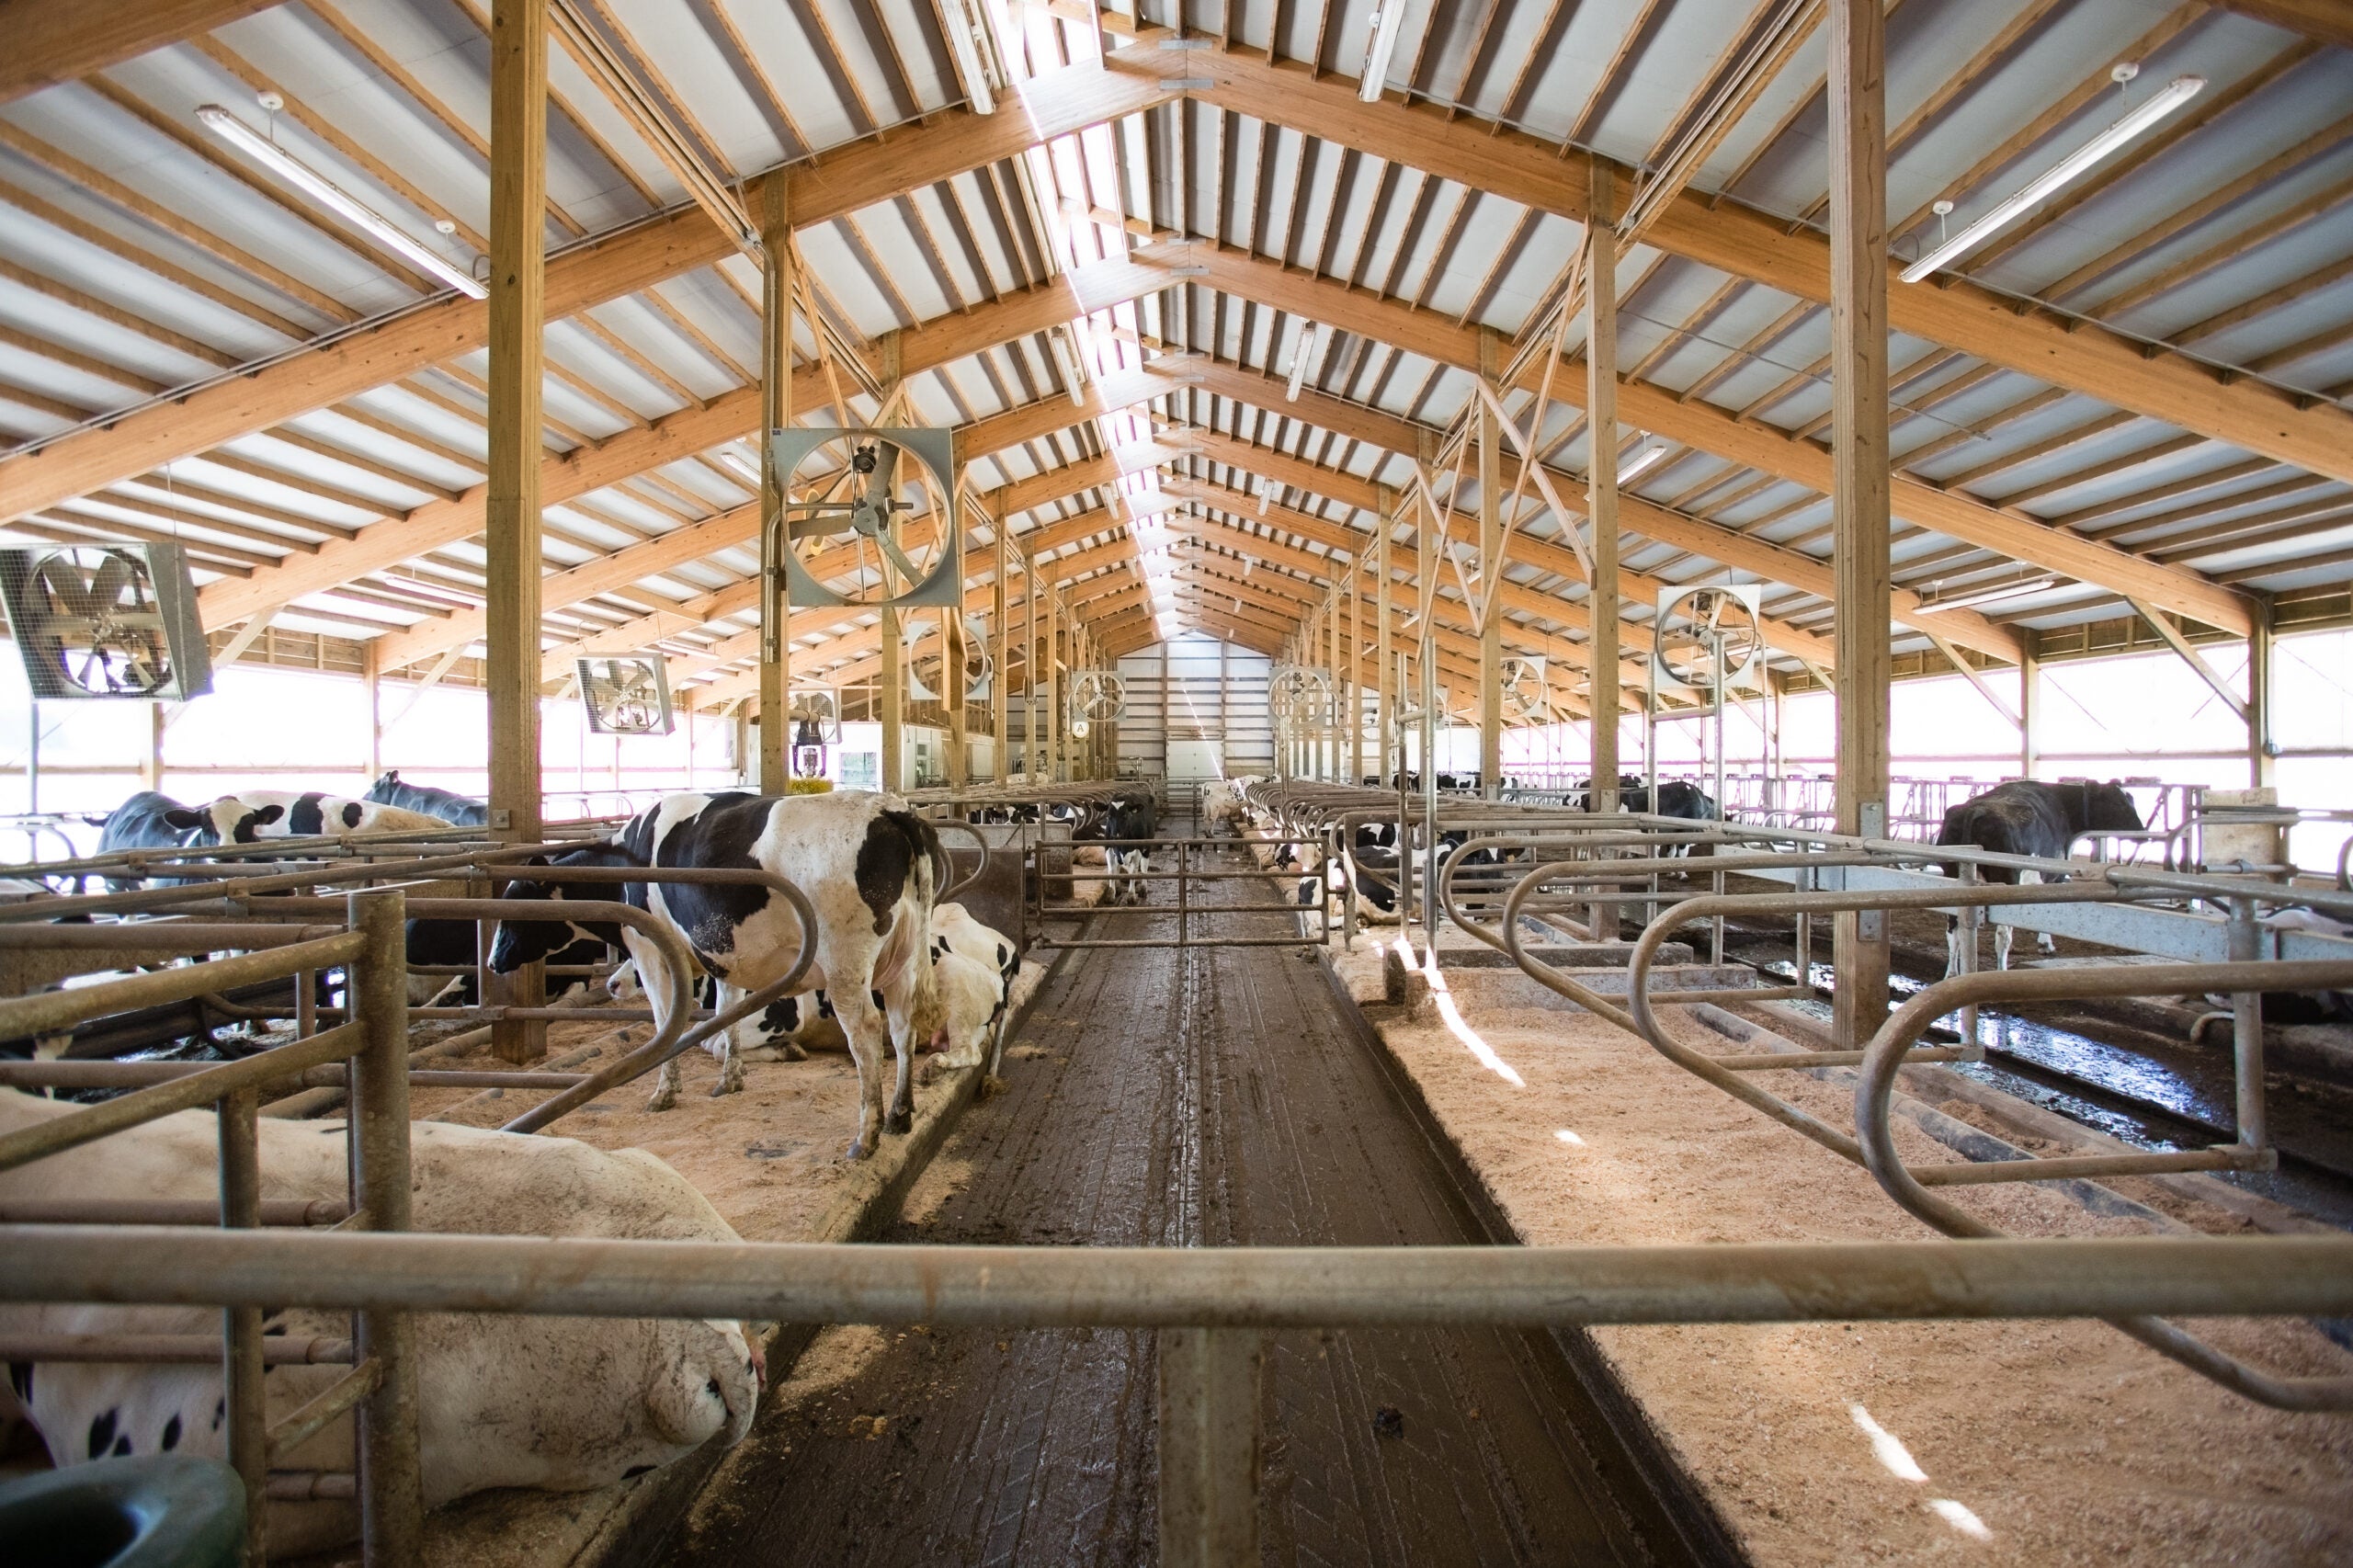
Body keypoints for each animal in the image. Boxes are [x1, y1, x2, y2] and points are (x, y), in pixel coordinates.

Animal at [486, 795, 946, 1149]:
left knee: (866, 1033)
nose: (492, 962)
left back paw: (866, 1135)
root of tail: (888, 808)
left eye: (515, 906)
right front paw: (731, 1080)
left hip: (845, 964)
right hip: (903, 959)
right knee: (902, 1026)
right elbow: (728, 1012)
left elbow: (665, 1021)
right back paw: (900, 1115)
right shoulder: (724, 955)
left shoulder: (652, 951)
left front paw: (664, 1092)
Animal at [1938, 777, 2145, 970]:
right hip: (2007, 878)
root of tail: (1976, 810)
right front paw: (2046, 944)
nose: (2143, 834)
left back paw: (1952, 973)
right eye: (2119, 802)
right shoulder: (2056, 874)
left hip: (1952, 876)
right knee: (2002, 935)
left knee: (1952, 930)